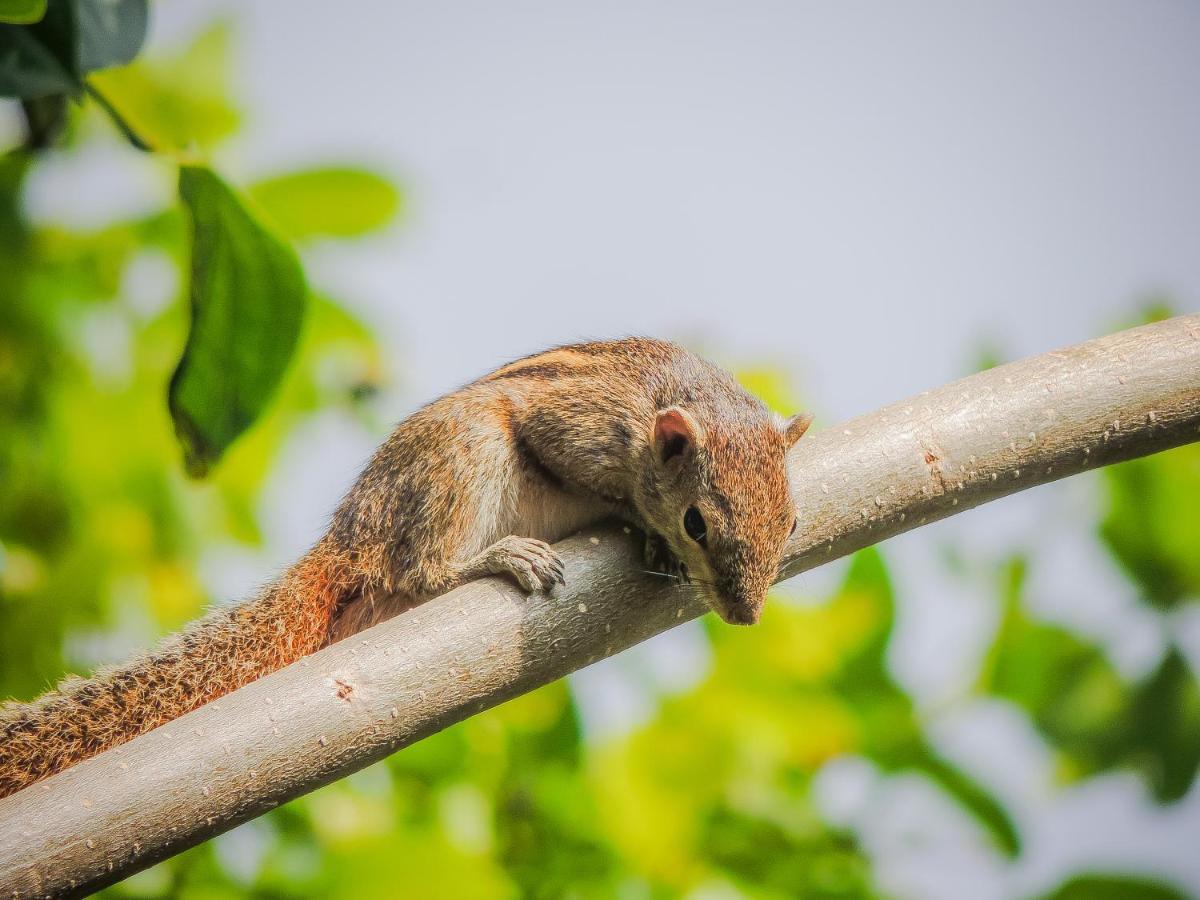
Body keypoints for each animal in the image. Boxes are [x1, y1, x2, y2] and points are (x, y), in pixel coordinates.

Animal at [0, 336, 811, 796]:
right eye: (697, 522)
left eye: (793, 521)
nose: (746, 614)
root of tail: (350, 534)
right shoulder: (580, 424)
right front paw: (644, 530)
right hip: (462, 450)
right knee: (420, 569)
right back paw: (496, 558)